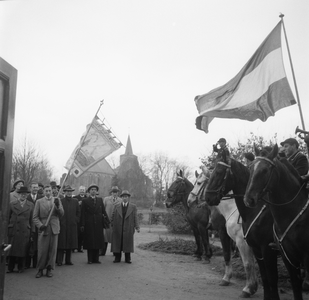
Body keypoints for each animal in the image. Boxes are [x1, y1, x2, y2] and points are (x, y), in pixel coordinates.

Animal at [203, 156, 278, 298]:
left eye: (219, 172)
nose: (208, 198)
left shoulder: (242, 242)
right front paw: (253, 287)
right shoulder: (252, 245)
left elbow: (247, 264)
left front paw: (248, 288)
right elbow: (253, 265)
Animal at [243, 144, 308, 300]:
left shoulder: (268, 251)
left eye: (265, 170)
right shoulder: (287, 258)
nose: (248, 199)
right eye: (250, 168)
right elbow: (292, 285)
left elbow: (272, 278)